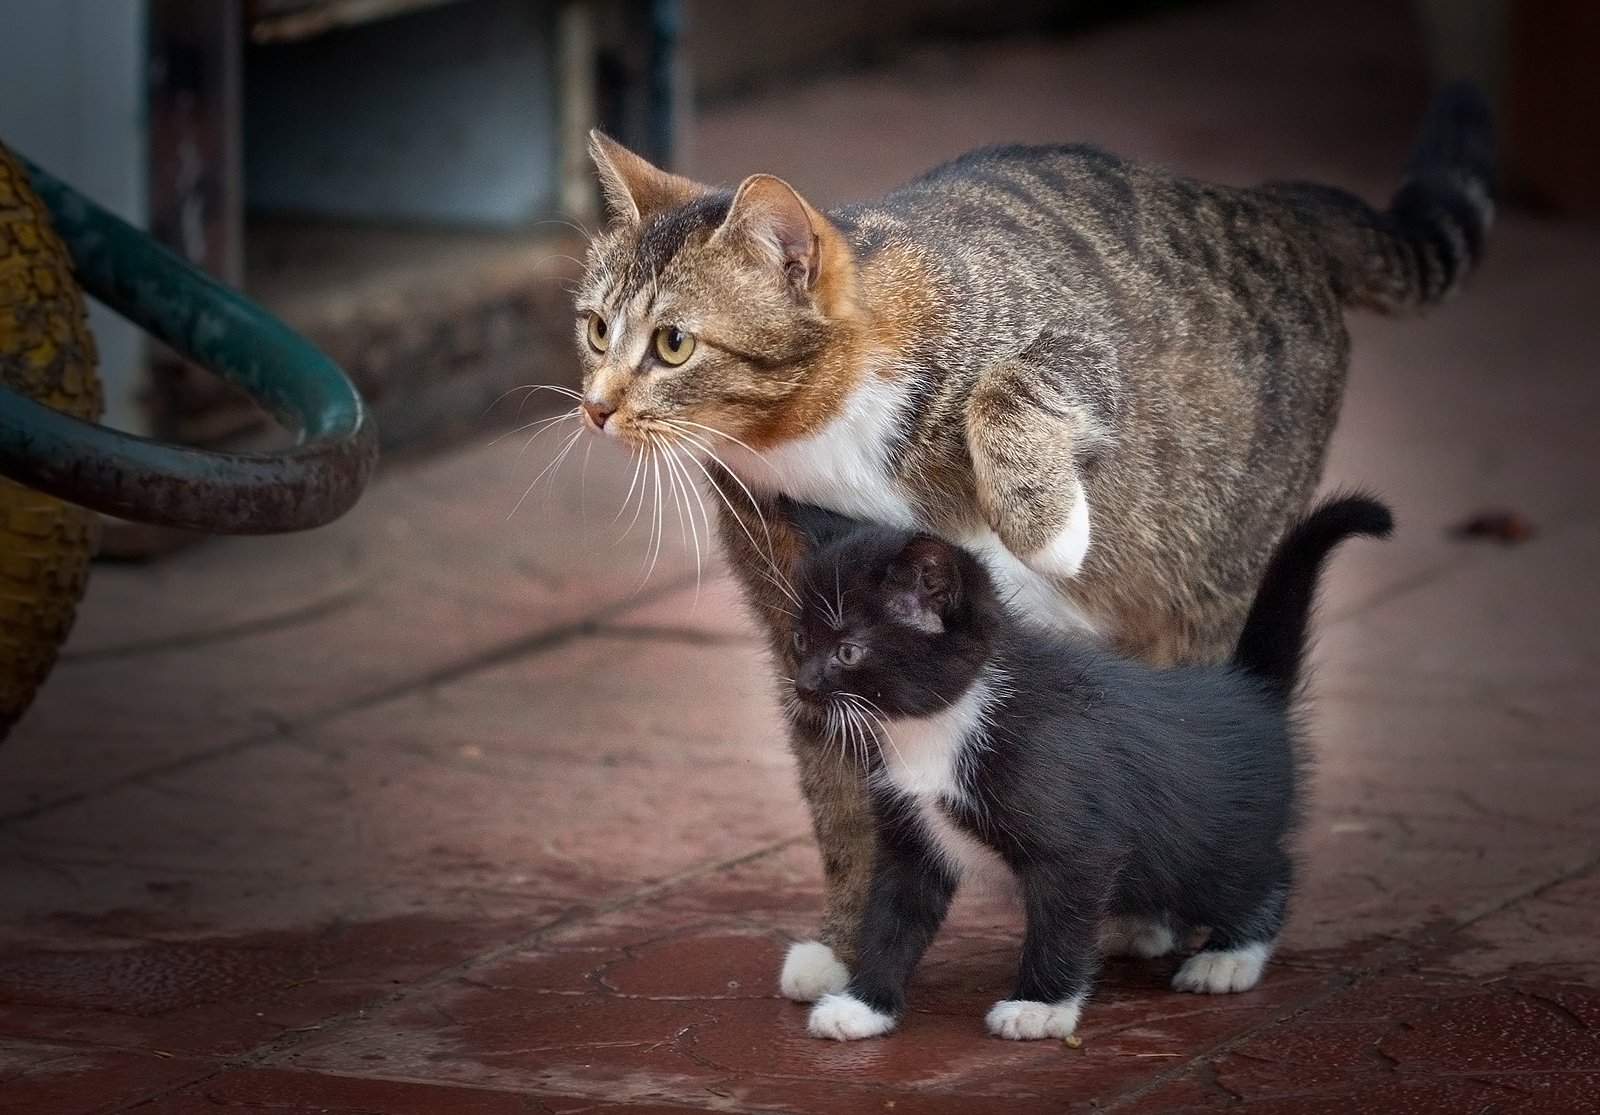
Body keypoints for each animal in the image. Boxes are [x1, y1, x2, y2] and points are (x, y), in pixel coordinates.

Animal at [780, 492, 1395, 1036]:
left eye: (849, 651)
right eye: (799, 638)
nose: (803, 684)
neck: (939, 727)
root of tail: (1248, 693)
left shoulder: (1077, 840)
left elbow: (1063, 920)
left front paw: (1039, 1007)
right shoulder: (912, 836)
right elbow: (892, 917)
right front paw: (863, 1006)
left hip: (1206, 843)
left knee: (1263, 874)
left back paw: (1230, 957)